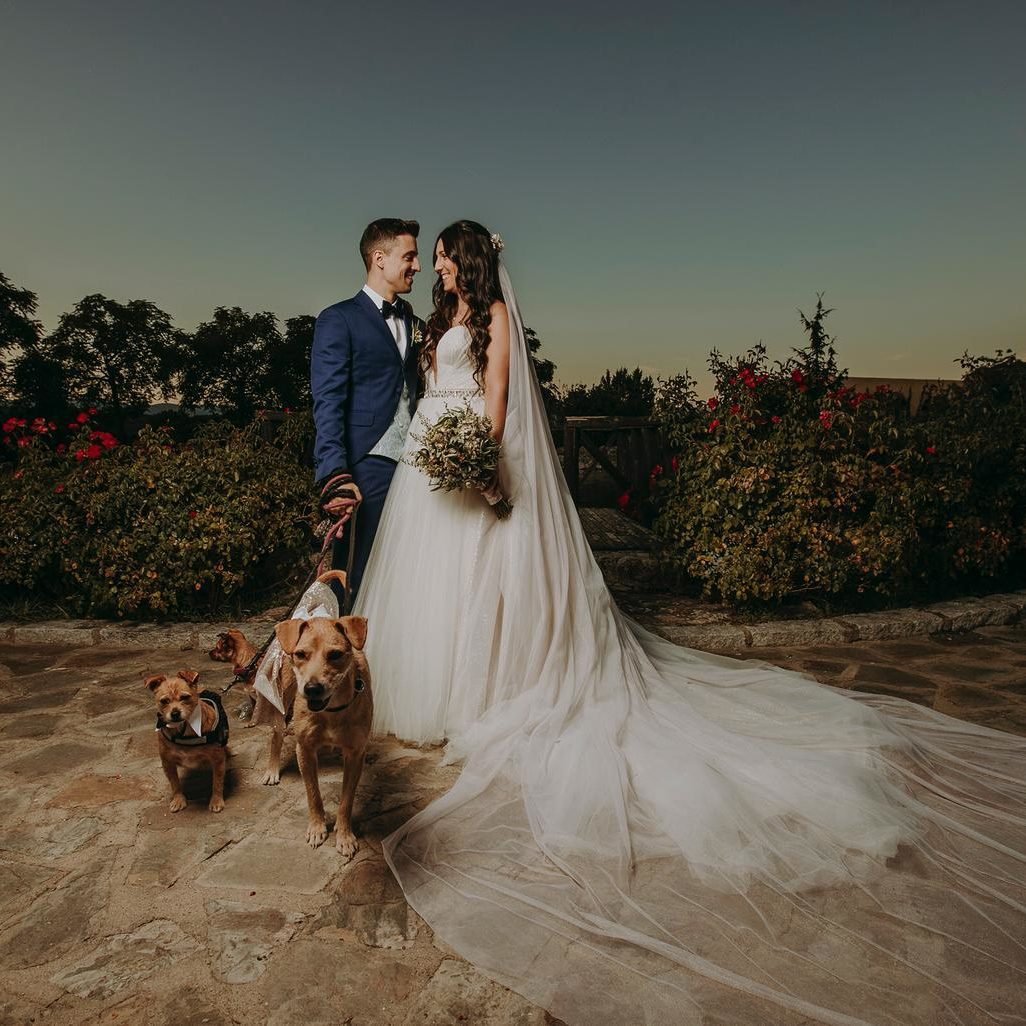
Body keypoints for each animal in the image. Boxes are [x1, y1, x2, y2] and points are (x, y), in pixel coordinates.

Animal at [147, 668, 229, 812]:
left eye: (185, 697)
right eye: (164, 701)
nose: (175, 713)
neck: (183, 730)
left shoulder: (218, 760)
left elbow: (217, 782)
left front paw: (217, 800)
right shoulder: (168, 763)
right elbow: (175, 783)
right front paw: (178, 799)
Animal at [262, 570, 375, 857]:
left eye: (335, 654)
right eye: (301, 654)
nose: (312, 689)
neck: (332, 711)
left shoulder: (355, 754)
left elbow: (346, 800)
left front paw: (344, 836)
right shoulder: (305, 749)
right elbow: (313, 793)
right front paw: (317, 828)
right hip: (282, 699)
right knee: (276, 735)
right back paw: (272, 769)